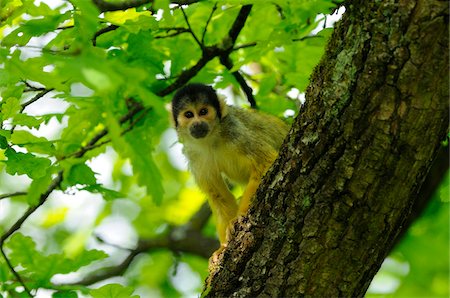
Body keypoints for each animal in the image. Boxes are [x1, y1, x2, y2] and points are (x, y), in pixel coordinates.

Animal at [171, 83, 290, 251]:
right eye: (189, 114)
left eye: (203, 112)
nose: (197, 124)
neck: (211, 138)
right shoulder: (194, 155)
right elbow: (217, 195)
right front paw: (223, 247)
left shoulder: (235, 131)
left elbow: (265, 162)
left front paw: (239, 218)